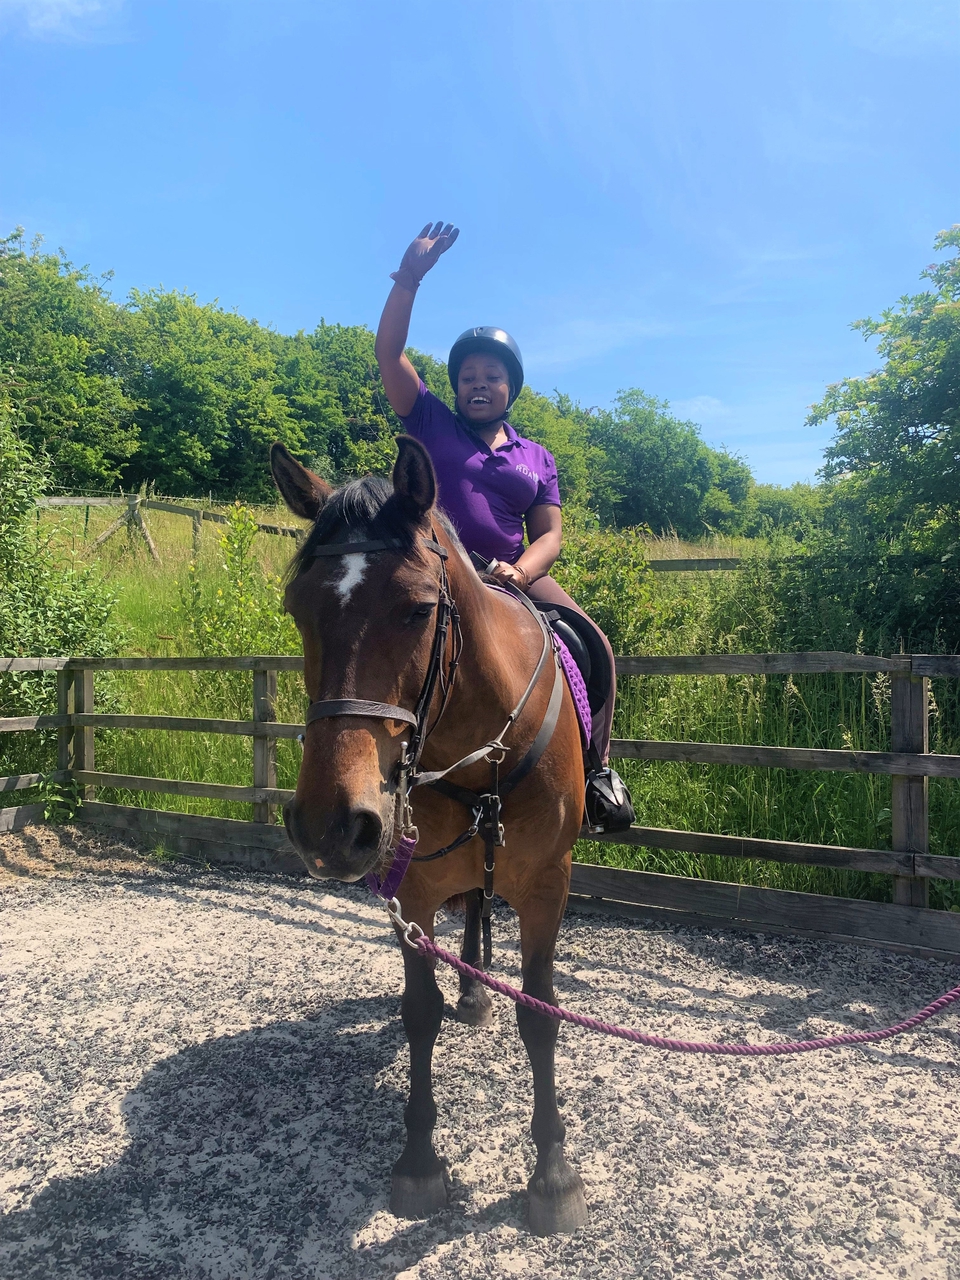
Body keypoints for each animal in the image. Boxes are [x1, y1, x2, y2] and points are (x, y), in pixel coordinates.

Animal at [271, 434, 589, 1235]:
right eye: (297, 609)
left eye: (417, 610)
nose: (329, 824)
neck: (482, 745)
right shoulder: (411, 887)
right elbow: (420, 1014)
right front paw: (418, 1163)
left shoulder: (548, 885)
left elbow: (540, 1015)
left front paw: (552, 1174)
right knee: (471, 908)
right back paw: (471, 991)